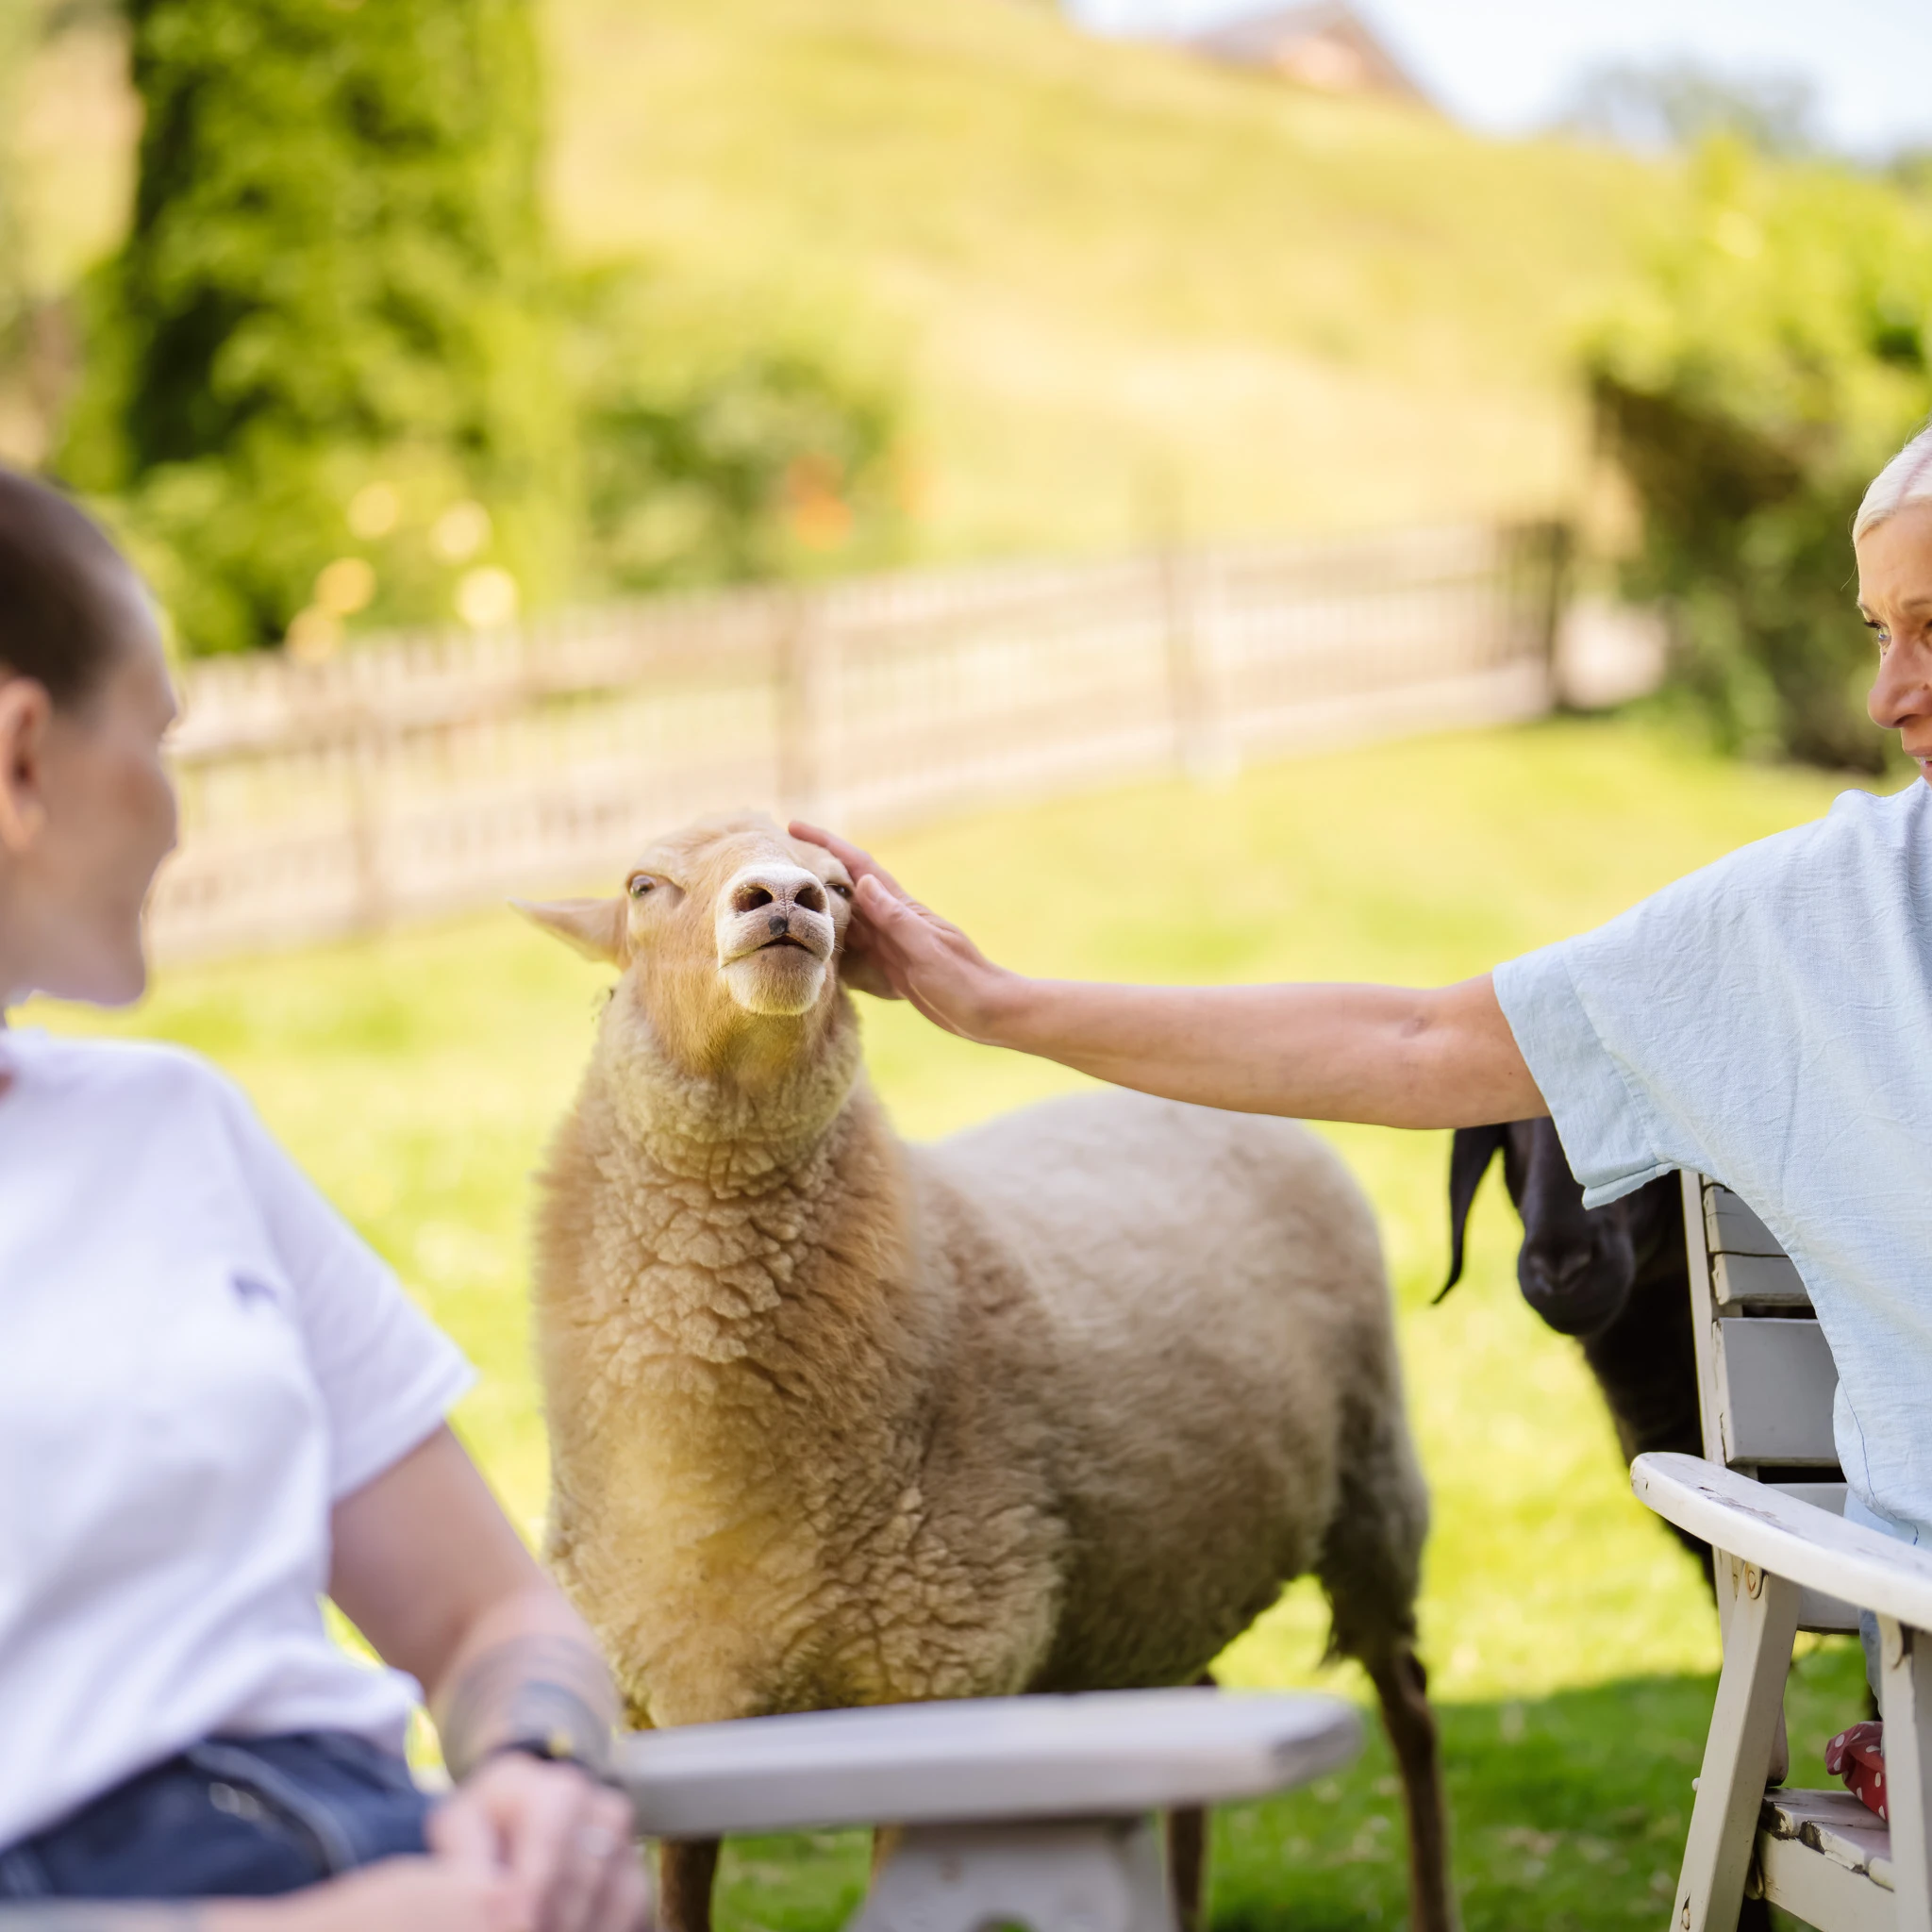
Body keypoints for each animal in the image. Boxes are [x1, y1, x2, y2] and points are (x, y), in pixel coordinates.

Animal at [521, 812, 1453, 1932]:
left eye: (842, 888)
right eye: (642, 883)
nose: (783, 898)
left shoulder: (939, 1677)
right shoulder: (676, 1704)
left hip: (1372, 1490)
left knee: (1409, 1703)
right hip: (1157, 1575)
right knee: (1200, 1707)